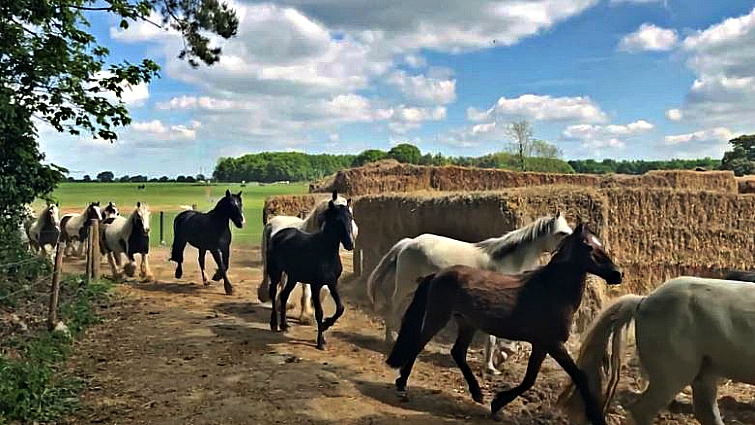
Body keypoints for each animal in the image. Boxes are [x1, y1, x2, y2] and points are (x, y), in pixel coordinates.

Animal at [267, 190, 355, 350]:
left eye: (350, 217)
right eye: (337, 220)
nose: (350, 244)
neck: (325, 251)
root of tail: (279, 234)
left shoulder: (332, 283)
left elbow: (340, 308)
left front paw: (326, 325)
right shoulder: (316, 285)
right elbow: (319, 312)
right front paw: (321, 341)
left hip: (293, 277)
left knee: (284, 295)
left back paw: (284, 325)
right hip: (276, 272)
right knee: (274, 292)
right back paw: (274, 324)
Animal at [367, 213, 573, 375]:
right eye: (562, 233)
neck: (504, 261)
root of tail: (409, 242)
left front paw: (498, 359)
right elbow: (492, 337)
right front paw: (491, 367)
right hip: (405, 285)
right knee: (393, 307)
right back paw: (391, 338)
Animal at [385, 222, 622, 424]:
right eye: (589, 246)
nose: (617, 274)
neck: (550, 290)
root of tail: (438, 275)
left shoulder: (541, 345)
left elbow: (530, 379)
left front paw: (496, 403)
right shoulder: (552, 343)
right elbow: (577, 376)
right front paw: (597, 418)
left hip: (467, 324)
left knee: (457, 352)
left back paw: (477, 393)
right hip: (438, 316)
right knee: (418, 344)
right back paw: (402, 385)